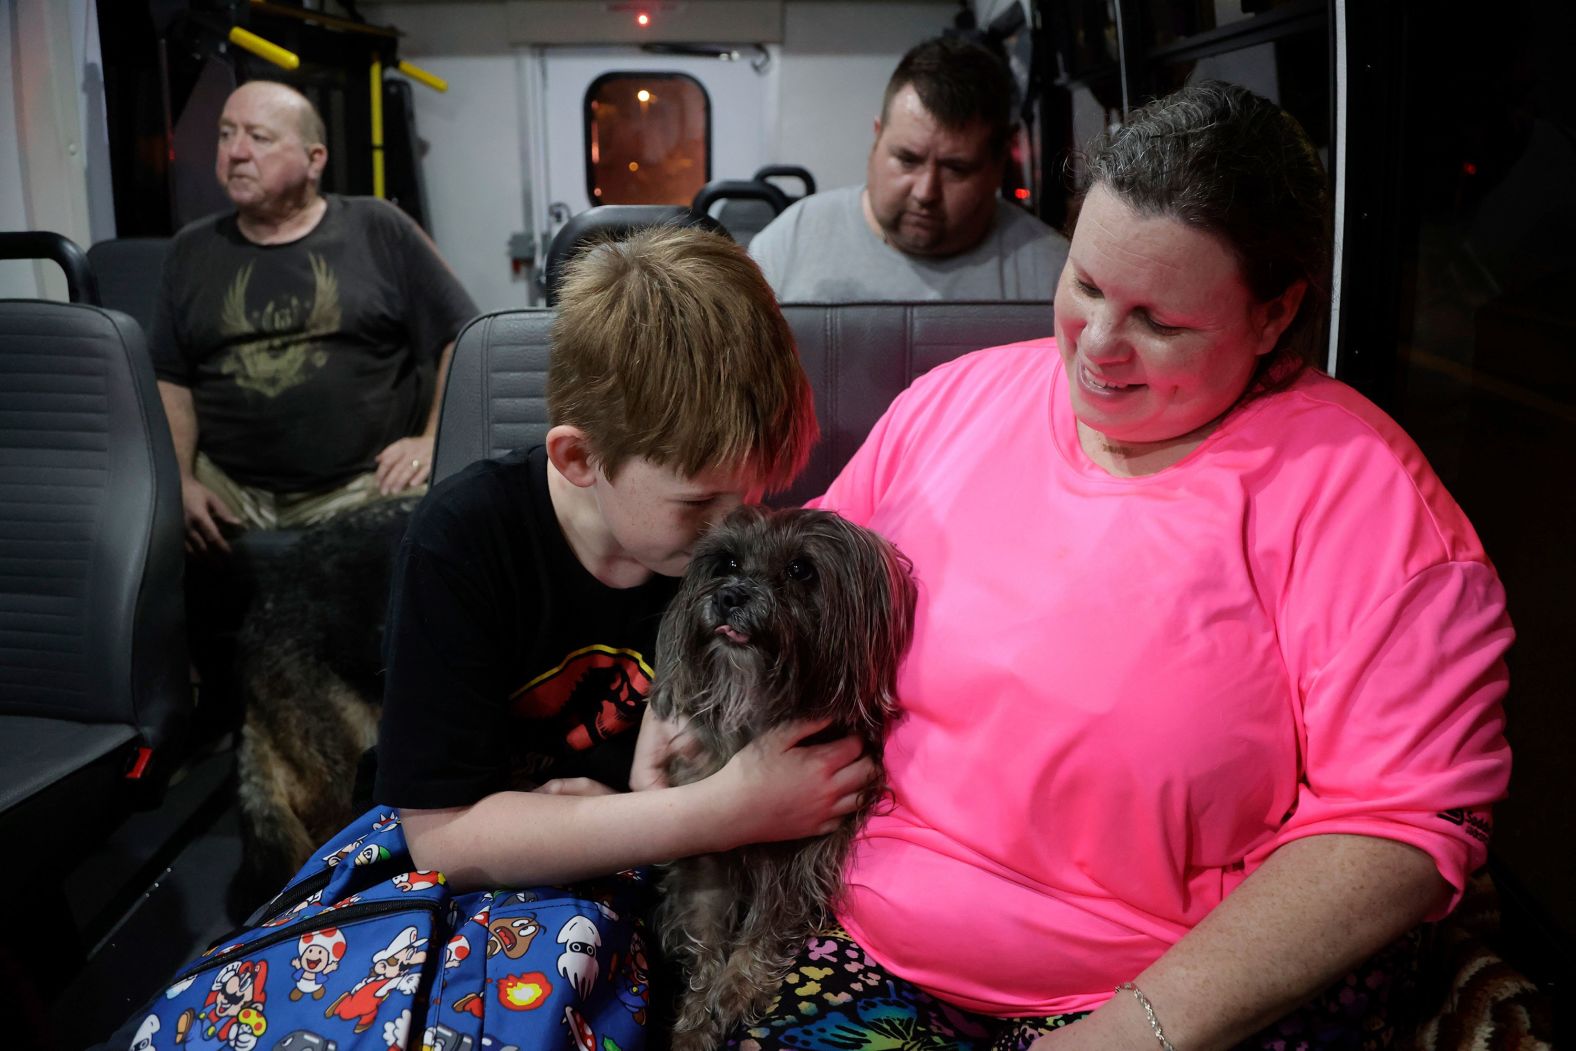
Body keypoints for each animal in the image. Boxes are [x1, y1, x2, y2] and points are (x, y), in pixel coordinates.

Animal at [649, 504, 920, 1046]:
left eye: (800, 570)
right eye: (728, 563)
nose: (730, 596)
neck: (759, 711)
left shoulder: (802, 854)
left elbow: (769, 920)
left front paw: (736, 985)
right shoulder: (705, 856)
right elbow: (705, 933)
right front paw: (696, 1017)